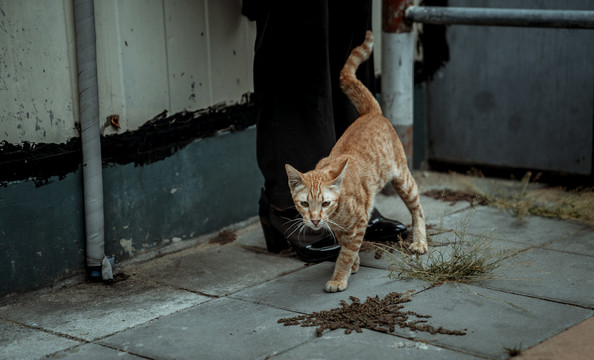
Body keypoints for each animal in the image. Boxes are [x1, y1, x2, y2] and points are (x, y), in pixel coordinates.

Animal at [284, 31, 426, 292]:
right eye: (305, 204)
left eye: (325, 203)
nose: (316, 221)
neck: (336, 214)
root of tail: (371, 113)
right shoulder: (340, 229)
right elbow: (345, 245)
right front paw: (354, 263)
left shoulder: (360, 221)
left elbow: (346, 253)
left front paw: (340, 277)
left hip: (402, 178)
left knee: (417, 208)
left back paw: (420, 240)